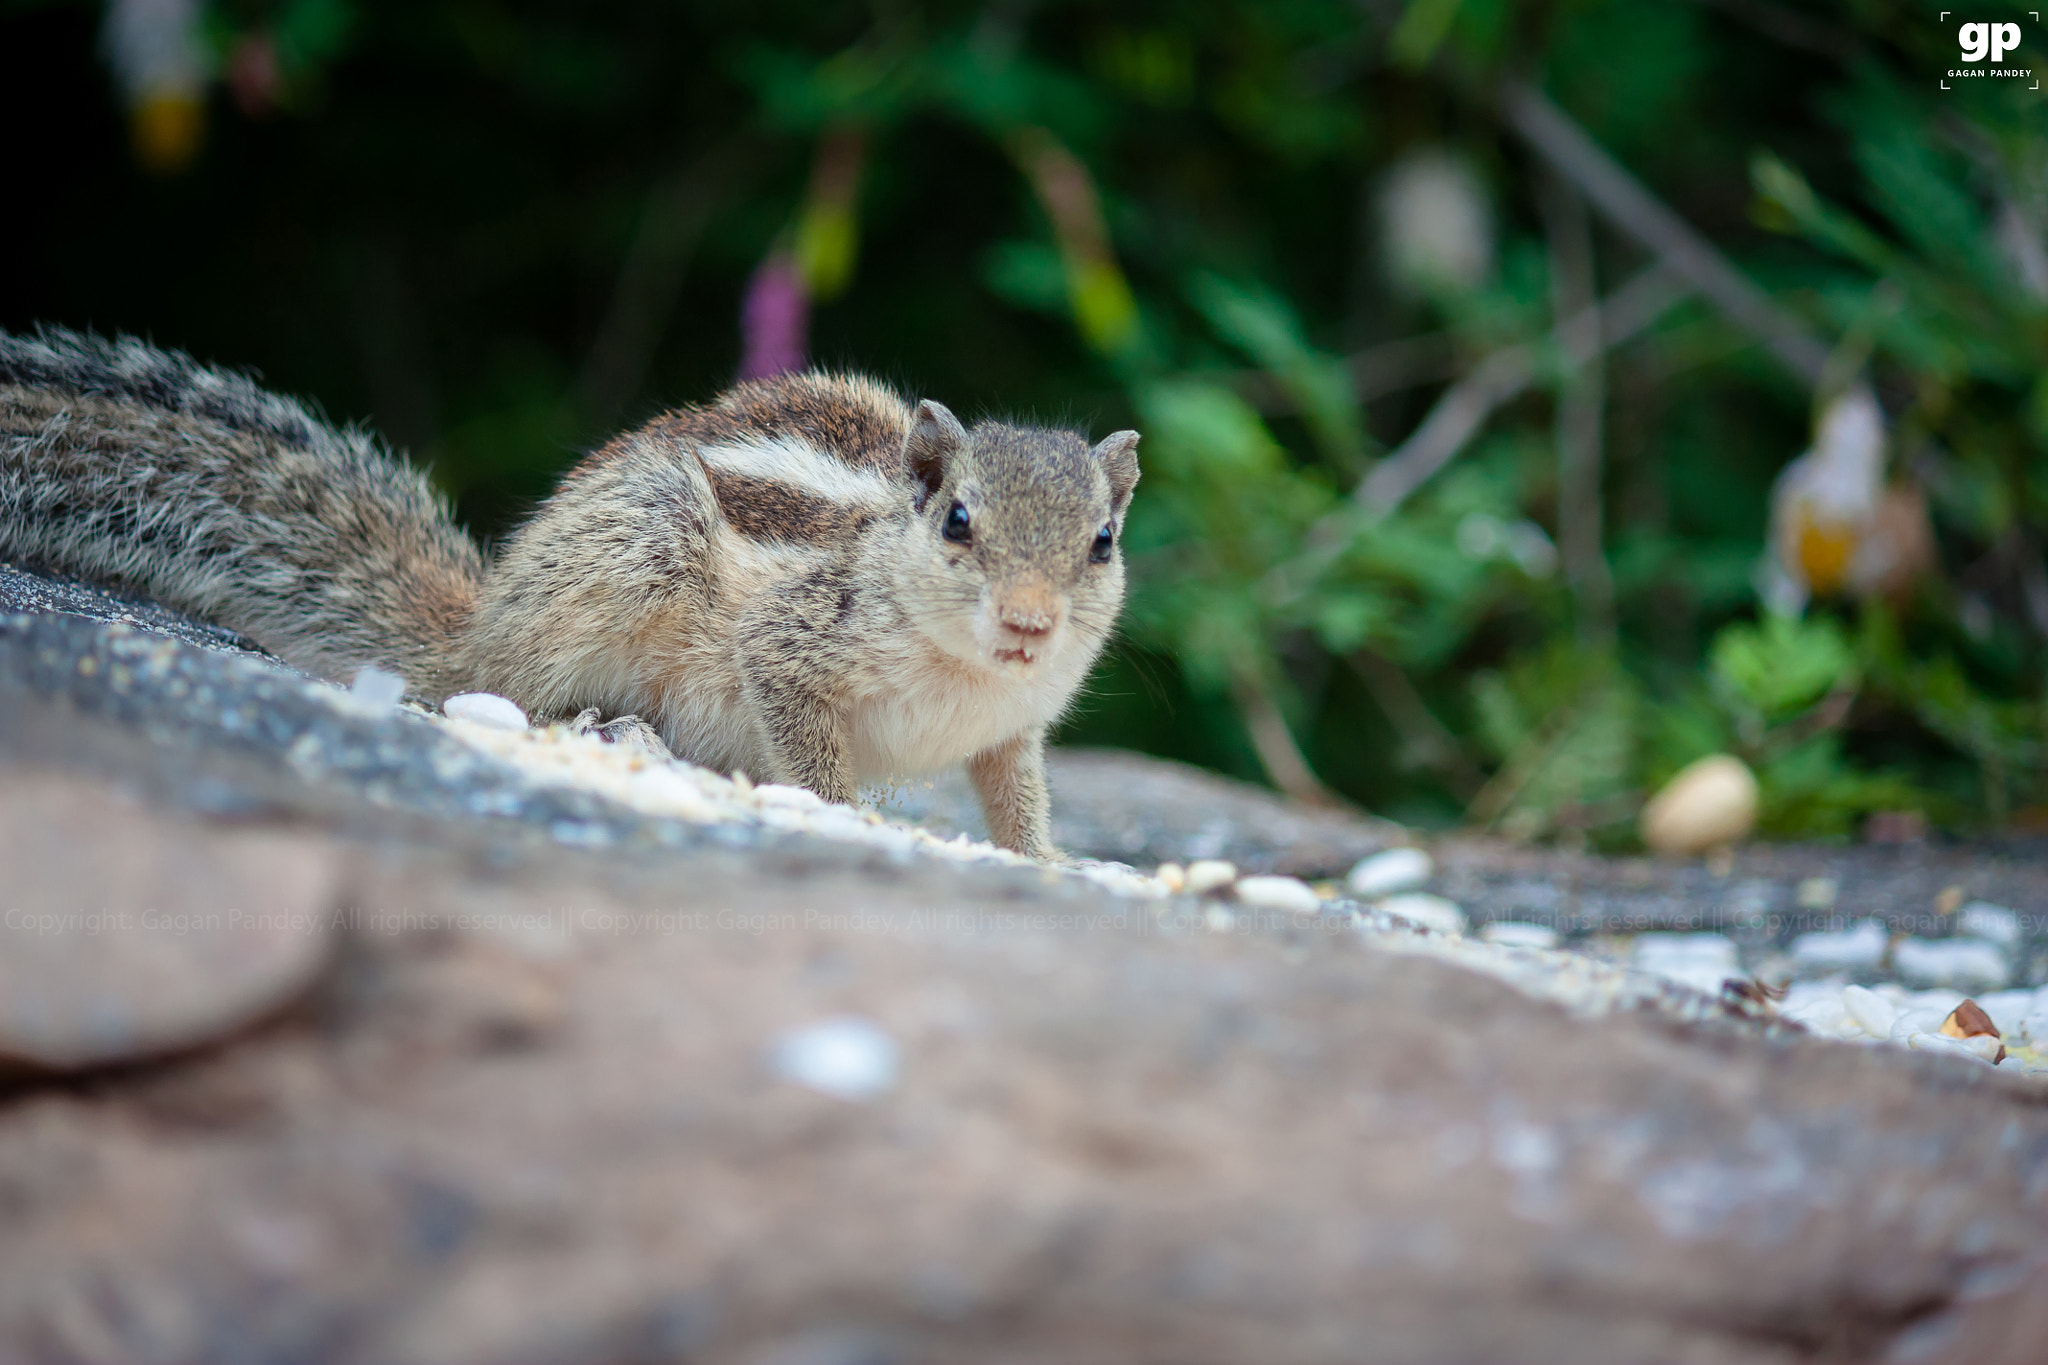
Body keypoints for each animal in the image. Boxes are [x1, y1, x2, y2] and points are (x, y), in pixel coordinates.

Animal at [0, 326, 1140, 860]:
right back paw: (589, 722)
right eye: (958, 522)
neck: (969, 672)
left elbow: (1015, 791)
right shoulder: (790, 641)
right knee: (495, 691)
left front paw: (1047, 854)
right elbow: (804, 738)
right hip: (635, 555)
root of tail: (478, 624)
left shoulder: (1011, 730)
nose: (1030, 623)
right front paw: (845, 814)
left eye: (1100, 542)